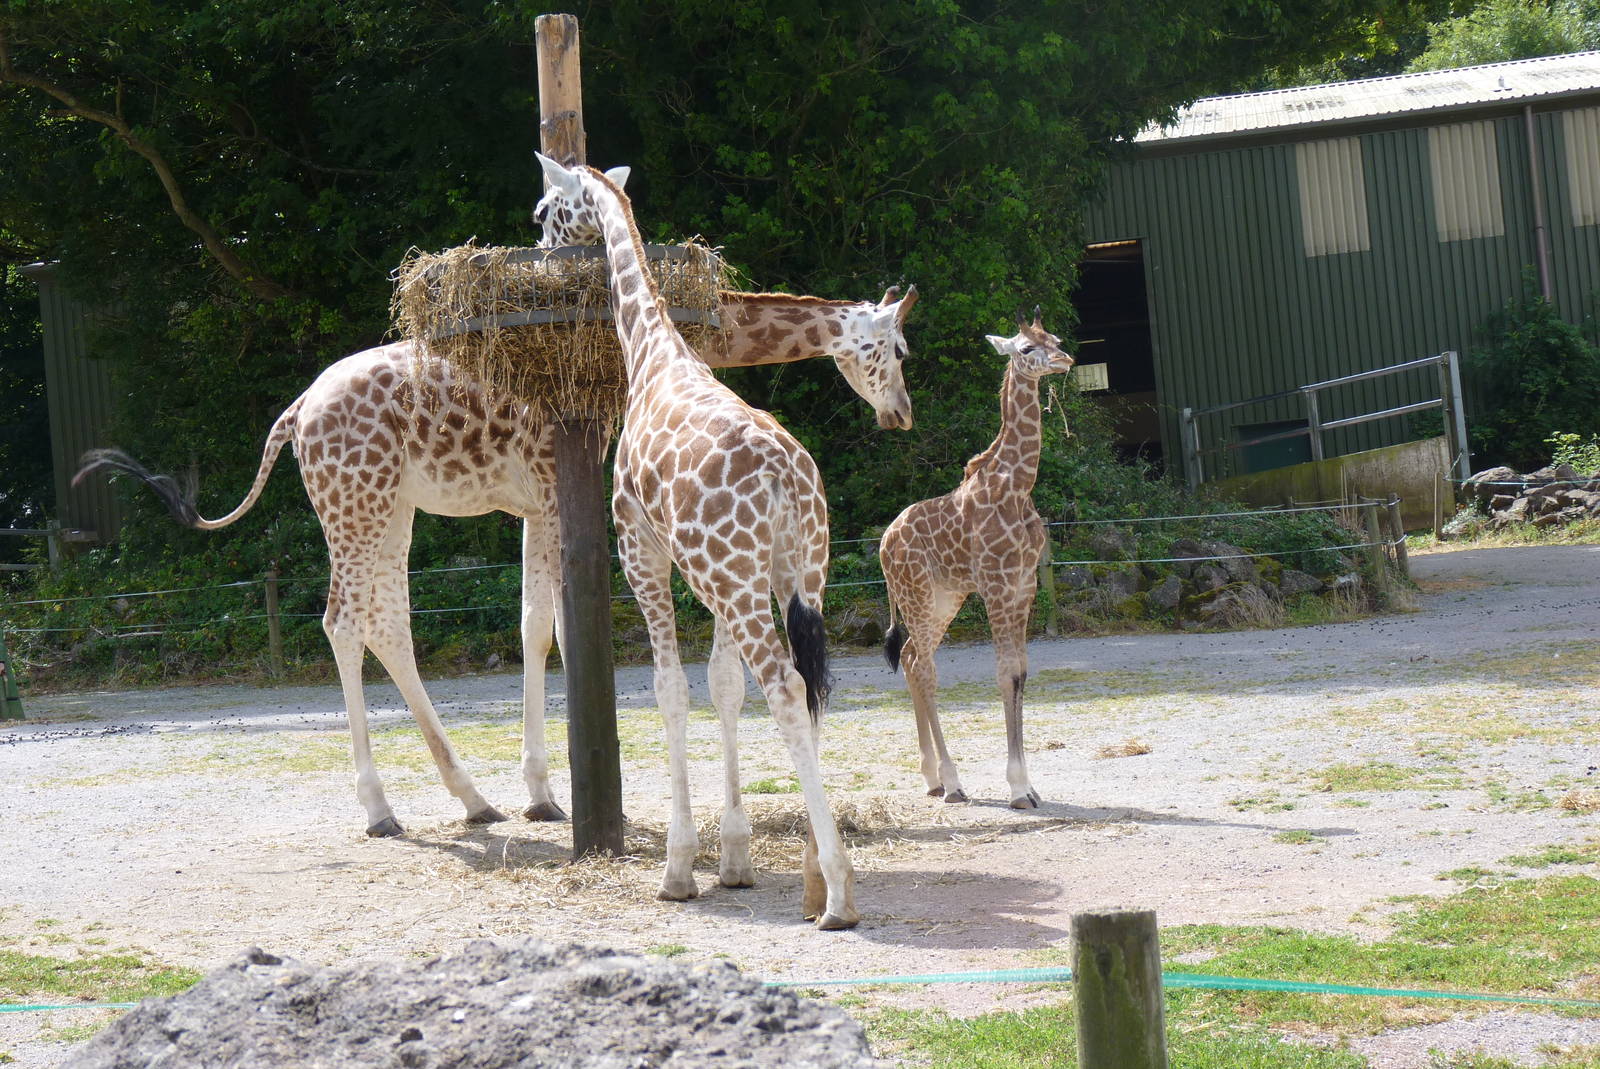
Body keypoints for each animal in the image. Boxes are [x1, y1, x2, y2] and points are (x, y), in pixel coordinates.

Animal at [76, 277, 917, 842]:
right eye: (889, 349)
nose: (901, 413)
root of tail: (296, 413)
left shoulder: (531, 501)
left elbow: (531, 623)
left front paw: (540, 789)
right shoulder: (553, 491)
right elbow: (552, 627)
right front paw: (556, 790)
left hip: (389, 508)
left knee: (385, 622)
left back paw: (471, 798)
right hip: (359, 503)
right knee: (344, 621)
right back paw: (382, 809)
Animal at [534, 152, 858, 929]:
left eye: (545, 210)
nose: (541, 250)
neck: (652, 353)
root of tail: (784, 477)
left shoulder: (643, 552)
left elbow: (672, 689)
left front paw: (679, 868)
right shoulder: (709, 575)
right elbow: (723, 686)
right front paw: (735, 859)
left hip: (735, 579)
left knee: (787, 684)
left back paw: (838, 892)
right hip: (796, 571)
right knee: (813, 686)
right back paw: (813, 878)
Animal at [878, 311, 1074, 810]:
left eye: (1056, 338)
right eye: (1026, 348)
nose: (1065, 360)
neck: (1018, 487)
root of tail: (883, 546)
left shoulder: (1024, 587)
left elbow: (1020, 673)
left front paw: (1030, 785)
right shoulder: (998, 587)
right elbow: (1004, 674)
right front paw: (1019, 789)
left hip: (944, 598)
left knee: (910, 657)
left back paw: (931, 777)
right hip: (918, 594)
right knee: (923, 667)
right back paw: (952, 783)